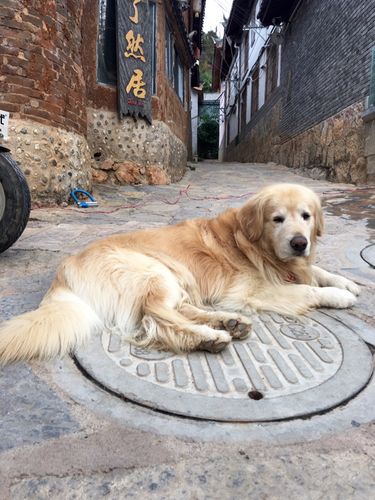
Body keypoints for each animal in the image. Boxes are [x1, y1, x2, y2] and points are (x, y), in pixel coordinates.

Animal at [0, 182, 362, 362]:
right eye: (277, 219)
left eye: (306, 216)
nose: (300, 243)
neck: (253, 243)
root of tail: (64, 272)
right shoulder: (253, 290)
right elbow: (308, 289)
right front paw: (338, 296)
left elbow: (319, 271)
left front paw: (346, 282)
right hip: (155, 270)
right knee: (157, 316)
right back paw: (210, 337)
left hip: (175, 279)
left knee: (177, 310)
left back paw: (228, 323)